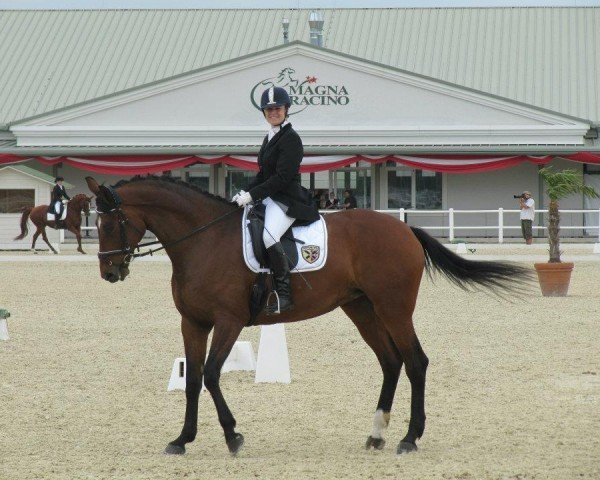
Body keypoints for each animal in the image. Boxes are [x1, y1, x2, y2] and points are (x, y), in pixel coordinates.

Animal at [85, 175, 528, 458]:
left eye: (112, 222)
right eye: (95, 221)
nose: (109, 272)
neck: (202, 241)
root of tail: (403, 230)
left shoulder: (229, 321)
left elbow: (211, 375)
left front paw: (233, 436)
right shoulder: (192, 323)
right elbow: (192, 379)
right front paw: (182, 439)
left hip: (394, 307)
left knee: (415, 361)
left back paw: (409, 438)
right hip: (362, 308)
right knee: (391, 361)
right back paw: (376, 434)